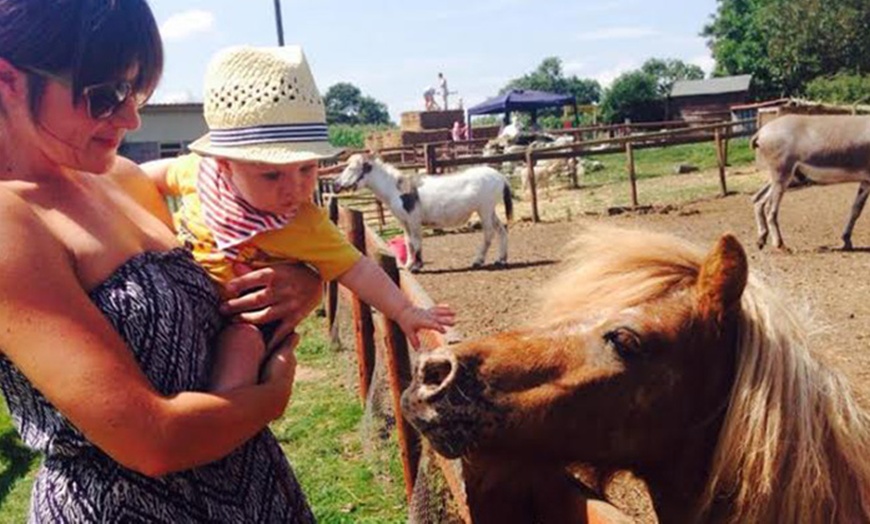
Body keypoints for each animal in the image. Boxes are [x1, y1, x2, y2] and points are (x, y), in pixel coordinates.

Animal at [332, 154, 510, 272]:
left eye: (351, 168)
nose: (335, 185)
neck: (397, 189)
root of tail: (499, 175)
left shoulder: (413, 219)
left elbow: (417, 242)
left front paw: (416, 266)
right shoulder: (404, 222)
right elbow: (409, 242)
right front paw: (408, 264)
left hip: (484, 209)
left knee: (488, 234)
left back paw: (478, 261)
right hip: (490, 211)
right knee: (502, 230)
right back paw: (501, 259)